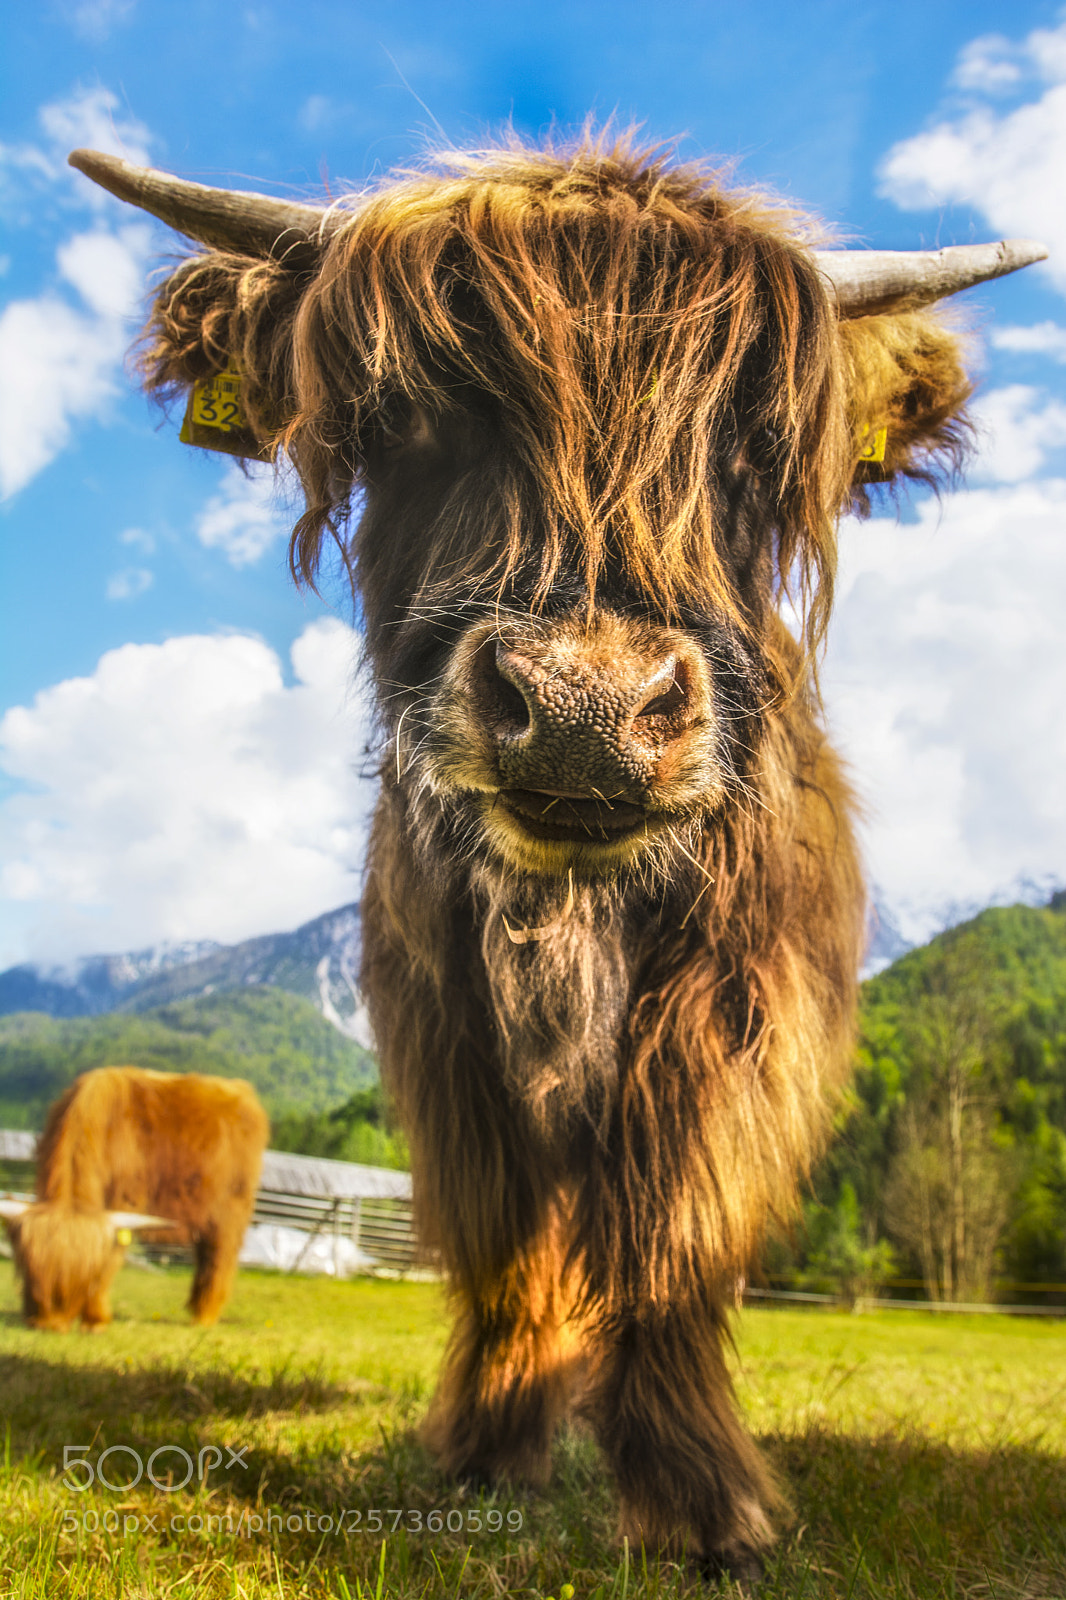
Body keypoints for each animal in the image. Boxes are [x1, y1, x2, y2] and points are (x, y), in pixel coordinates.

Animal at [8, 1066, 268, 1330]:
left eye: (81, 1276)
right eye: (26, 1267)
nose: (49, 1324)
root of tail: (240, 1088)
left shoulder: (124, 1201)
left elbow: (110, 1258)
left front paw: (95, 1320)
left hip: (231, 1206)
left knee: (219, 1255)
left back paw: (205, 1316)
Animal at [70, 136, 1043, 1573]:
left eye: (748, 449)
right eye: (412, 417)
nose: (587, 706)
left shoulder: (740, 1001)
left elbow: (675, 1220)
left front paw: (703, 1506)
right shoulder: (441, 1021)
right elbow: (502, 1230)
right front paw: (488, 1452)